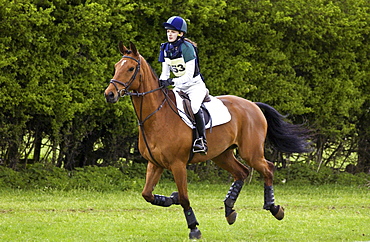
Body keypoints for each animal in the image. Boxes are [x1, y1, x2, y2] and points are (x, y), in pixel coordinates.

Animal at [103, 42, 310, 240]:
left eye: (130, 68)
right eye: (116, 67)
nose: (109, 94)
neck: (157, 116)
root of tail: (253, 105)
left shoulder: (178, 165)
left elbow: (185, 198)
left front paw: (194, 228)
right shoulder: (155, 164)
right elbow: (147, 194)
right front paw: (172, 198)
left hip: (250, 152)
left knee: (268, 168)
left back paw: (274, 208)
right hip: (222, 154)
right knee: (242, 172)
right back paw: (229, 209)